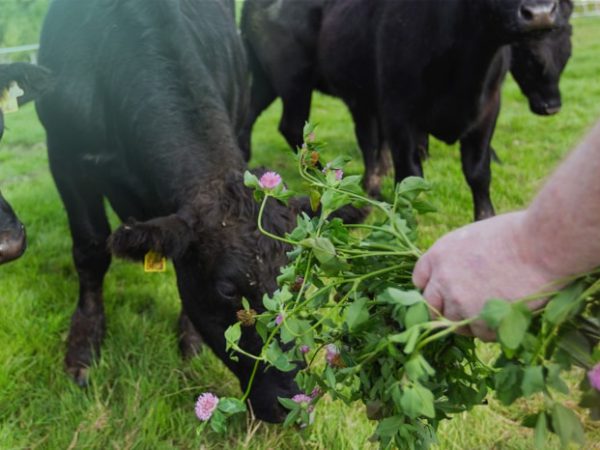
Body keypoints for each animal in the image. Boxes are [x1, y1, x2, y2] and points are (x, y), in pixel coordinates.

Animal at [34, 0, 338, 422]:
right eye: (227, 289)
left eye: (298, 282)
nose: (294, 401)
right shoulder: (64, 156)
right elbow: (91, 250)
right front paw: (83, 347)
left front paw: (190, 340)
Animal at [239, 0, 572, 220]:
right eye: (531, 58)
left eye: (566, 53)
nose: (541, 13)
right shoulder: (398, 114)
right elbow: (409, 172)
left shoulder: (488, 110)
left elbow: (478, 172)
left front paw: (485, 217)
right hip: (294, 79)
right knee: (294, 127)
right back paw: (328, 176)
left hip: (268, 80)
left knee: (249, 115)